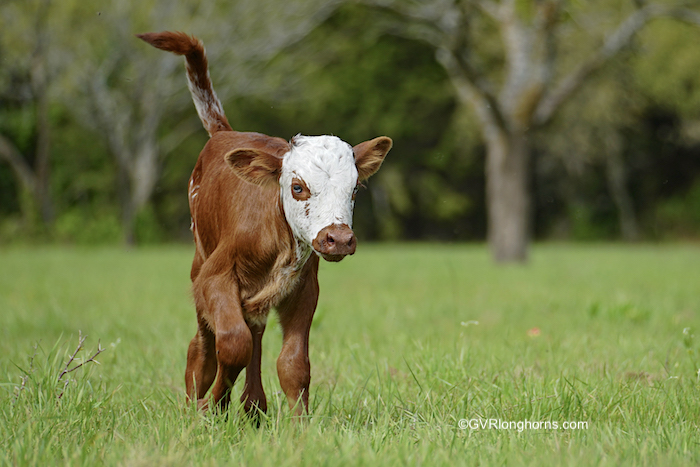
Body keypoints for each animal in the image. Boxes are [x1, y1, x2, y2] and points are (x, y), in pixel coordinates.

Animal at [135, 31, 388, 414]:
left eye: (355, 188)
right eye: (297, 187)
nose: (339, 238)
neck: (278, 244)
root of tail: (224, 133)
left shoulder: (303, 288)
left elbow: (293, 363)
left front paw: (300, 424)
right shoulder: (215, 276)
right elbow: (232, 344)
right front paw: (210, 409)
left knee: (254, 330)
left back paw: (253, 406)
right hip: (199, 261)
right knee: (203, 345)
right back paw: (197, 404)